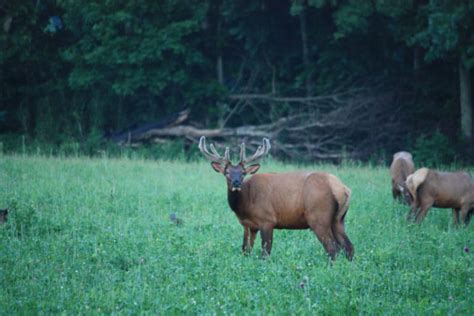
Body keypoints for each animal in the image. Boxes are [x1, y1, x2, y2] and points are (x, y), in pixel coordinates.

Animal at [198, 137, 354, 260]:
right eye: (227, 173)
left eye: (243, 173)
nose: (236, 183)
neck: (245, 204)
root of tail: (342, 188)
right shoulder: (249, 225)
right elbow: (245, 250)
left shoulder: (267, 220)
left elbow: (265, 253)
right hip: (338, 219)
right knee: (348, 247)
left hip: (318, 217)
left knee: (332, 249)